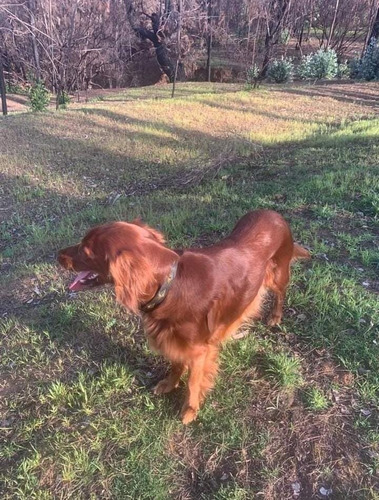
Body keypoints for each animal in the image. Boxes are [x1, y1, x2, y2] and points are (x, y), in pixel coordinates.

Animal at [58, 209, 310, 424]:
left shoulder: (198, 351)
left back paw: (275, 316)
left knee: (281, 293)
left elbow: (193, 382)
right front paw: (169, 384)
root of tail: (273, 213)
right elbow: (175, 364)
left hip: (278, 272)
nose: (57, 254)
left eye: (86, 251)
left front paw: (190, 409)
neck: (170, 285)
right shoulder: (172, 338)